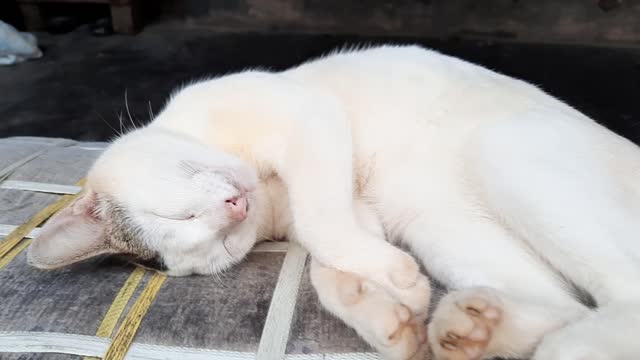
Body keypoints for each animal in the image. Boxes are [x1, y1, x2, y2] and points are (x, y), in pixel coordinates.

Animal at [27, 45, 640, 360]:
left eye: (178, 214)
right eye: (216, 242)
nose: (235, 205)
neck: (269, 189)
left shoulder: (308, 116)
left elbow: (323, 223)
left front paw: (389, 283)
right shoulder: (354, 211)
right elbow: (327, 256)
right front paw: (386, 302)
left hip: (502, 152)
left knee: (616, 299)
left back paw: (568, 345)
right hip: (445, 229)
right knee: (569, 305)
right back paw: (470, 329)